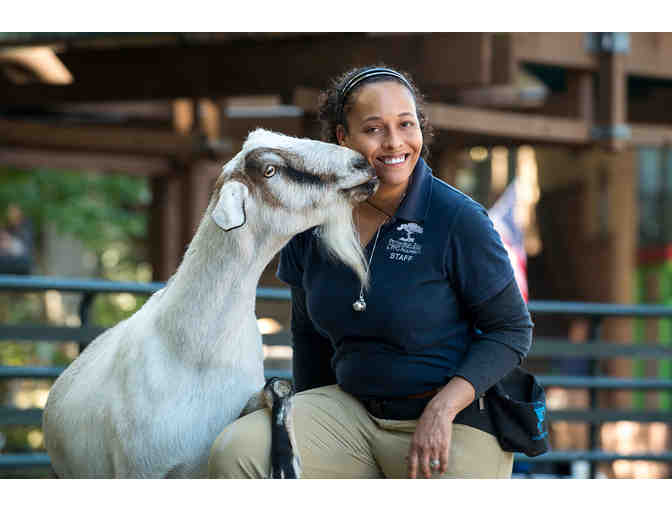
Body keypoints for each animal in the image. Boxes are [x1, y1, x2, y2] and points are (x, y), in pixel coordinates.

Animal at [42, 128, 378, 478]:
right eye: (270, 170)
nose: (361, 163)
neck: (195, 353)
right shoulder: (140, 469)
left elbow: (280, 386)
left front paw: (286, 461)